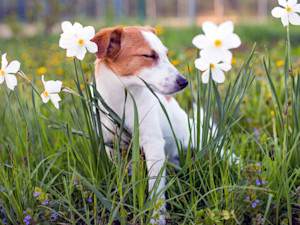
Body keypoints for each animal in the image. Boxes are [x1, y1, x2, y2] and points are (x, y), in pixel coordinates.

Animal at [91, 25, 193, 223]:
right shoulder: (111, 145)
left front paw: (156, 217)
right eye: (149, 55)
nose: (184, 82)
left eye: (166, 54)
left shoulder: (153, 145)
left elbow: (156, 188)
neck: (122, 102)